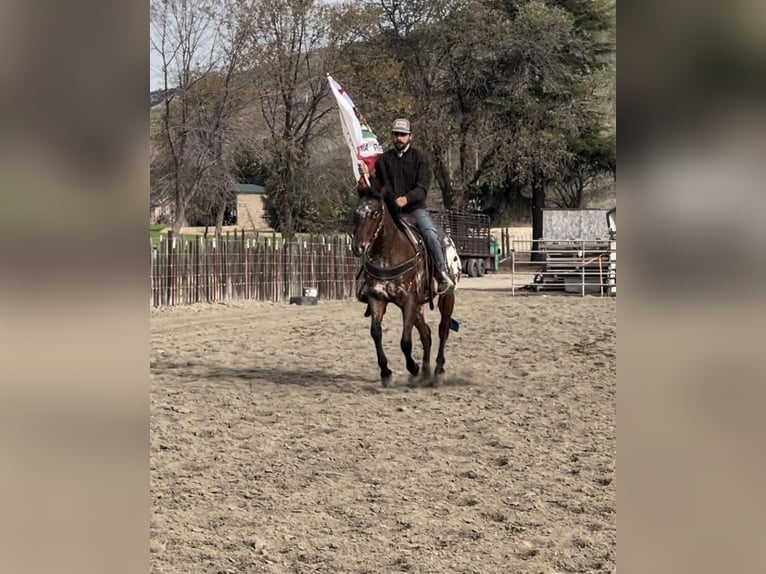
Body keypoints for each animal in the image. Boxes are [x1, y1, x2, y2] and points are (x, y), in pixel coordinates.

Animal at [352, 190, 460, 388]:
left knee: (443, 329)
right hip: (419, 307)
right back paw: (425, 373)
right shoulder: (377, 299)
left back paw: (438, 371)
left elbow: (405, 341)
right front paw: (386, 373)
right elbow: (376, 333)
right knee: (427, 334)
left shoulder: (409, 300)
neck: (388, 253)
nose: (358, 247)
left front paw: (413, 368)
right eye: (356, 213)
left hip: (447, 297)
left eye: (375, 213)